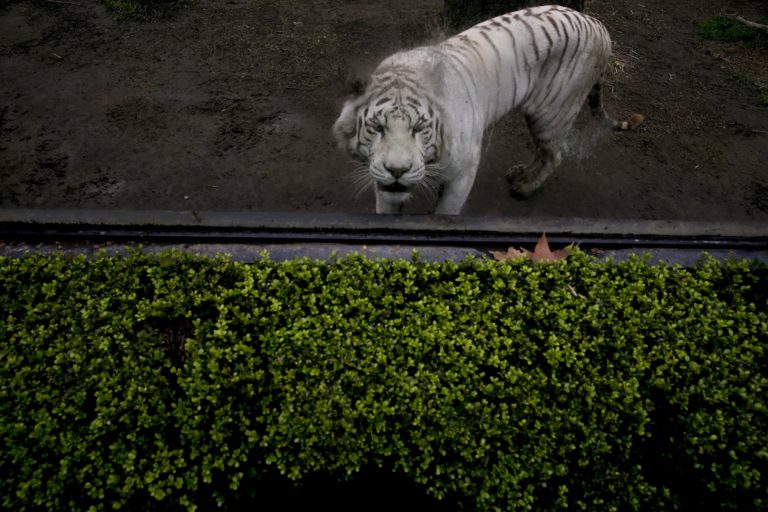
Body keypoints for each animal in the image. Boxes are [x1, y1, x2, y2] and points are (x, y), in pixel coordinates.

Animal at [332, 3, 644, 214]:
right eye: (377, 128)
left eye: (419, 129)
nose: (397, 170)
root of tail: (598, 24)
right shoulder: (381, 181)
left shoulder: (463, 173)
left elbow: (446, 213)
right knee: (544, 149)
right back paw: (520, 173)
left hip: (554, 110)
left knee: (556, 153)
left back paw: (525, 188)